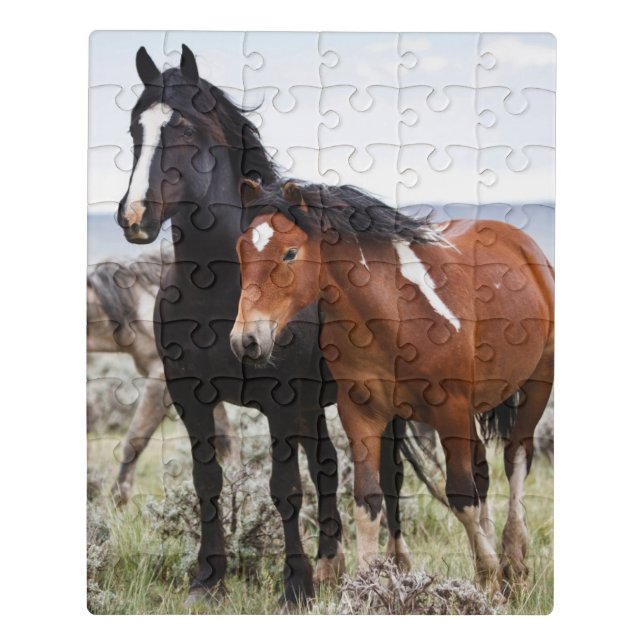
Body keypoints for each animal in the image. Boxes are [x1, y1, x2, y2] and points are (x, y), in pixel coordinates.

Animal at [115, 45, 445, 604]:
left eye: (184, 129)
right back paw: (332, 564)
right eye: (136, 127)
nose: (135, 216)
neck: (219, 286)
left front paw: (295, 585)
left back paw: (393, 566)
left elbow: (285, 489)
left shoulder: (280, 402)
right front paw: (208, 579)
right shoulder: (191, 396)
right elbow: (209, 482)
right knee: (327, 465)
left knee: (390, 473)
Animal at [231, 179, 555, 591]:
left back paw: (513, 558)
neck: (394, 314)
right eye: (241, 250)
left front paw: (490, 576)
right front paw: (366, 586)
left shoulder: (450, 411)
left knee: (515, 459)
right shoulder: (362, 414)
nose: (246, 341)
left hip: (537, 386)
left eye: (289, 253)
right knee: (483, 469)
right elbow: (368, 501)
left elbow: (460, 495)